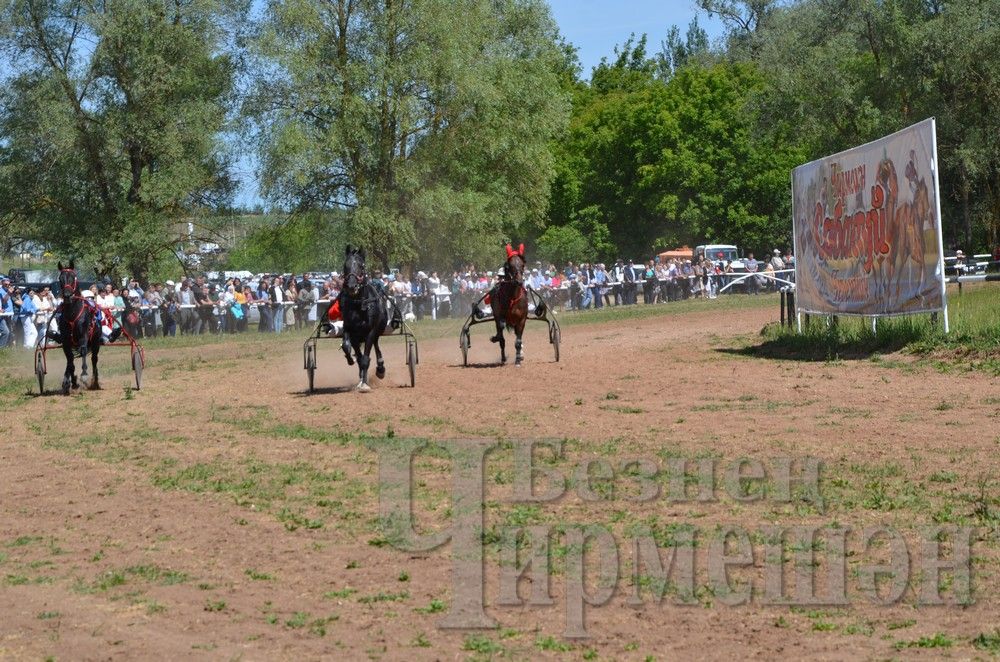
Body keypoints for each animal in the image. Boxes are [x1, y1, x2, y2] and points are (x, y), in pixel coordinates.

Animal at [54, 260, 107, 394]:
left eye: (73, 277)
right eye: (60, 279)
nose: (67, 295)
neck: (73, 313)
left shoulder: (84, 337)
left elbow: (83, 351)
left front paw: (83, 374)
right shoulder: (66, 341)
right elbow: (70, 359)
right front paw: (70, 381)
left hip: (95, 342)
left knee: (94, 359)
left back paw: (95, 382)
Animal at [344, 249, 390, 394]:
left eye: (361, 266)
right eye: (345, 265)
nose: (352, 286)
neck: (360, 304)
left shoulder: (370, 331)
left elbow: (365, 359)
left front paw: (364, 384)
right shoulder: (351, 331)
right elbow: (350, 350)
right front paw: (351, 360)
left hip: (378, 329)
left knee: (376, 345)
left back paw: (380, 368)